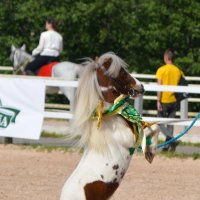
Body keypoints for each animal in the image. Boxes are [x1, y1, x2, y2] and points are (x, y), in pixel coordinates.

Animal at [60, 52, 159, 199]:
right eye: (121, 71)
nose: (141, 86)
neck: (112, 116)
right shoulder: (130, 138)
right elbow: (149, 130)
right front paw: (150, 153)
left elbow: (153, 127)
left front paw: (150, 152)